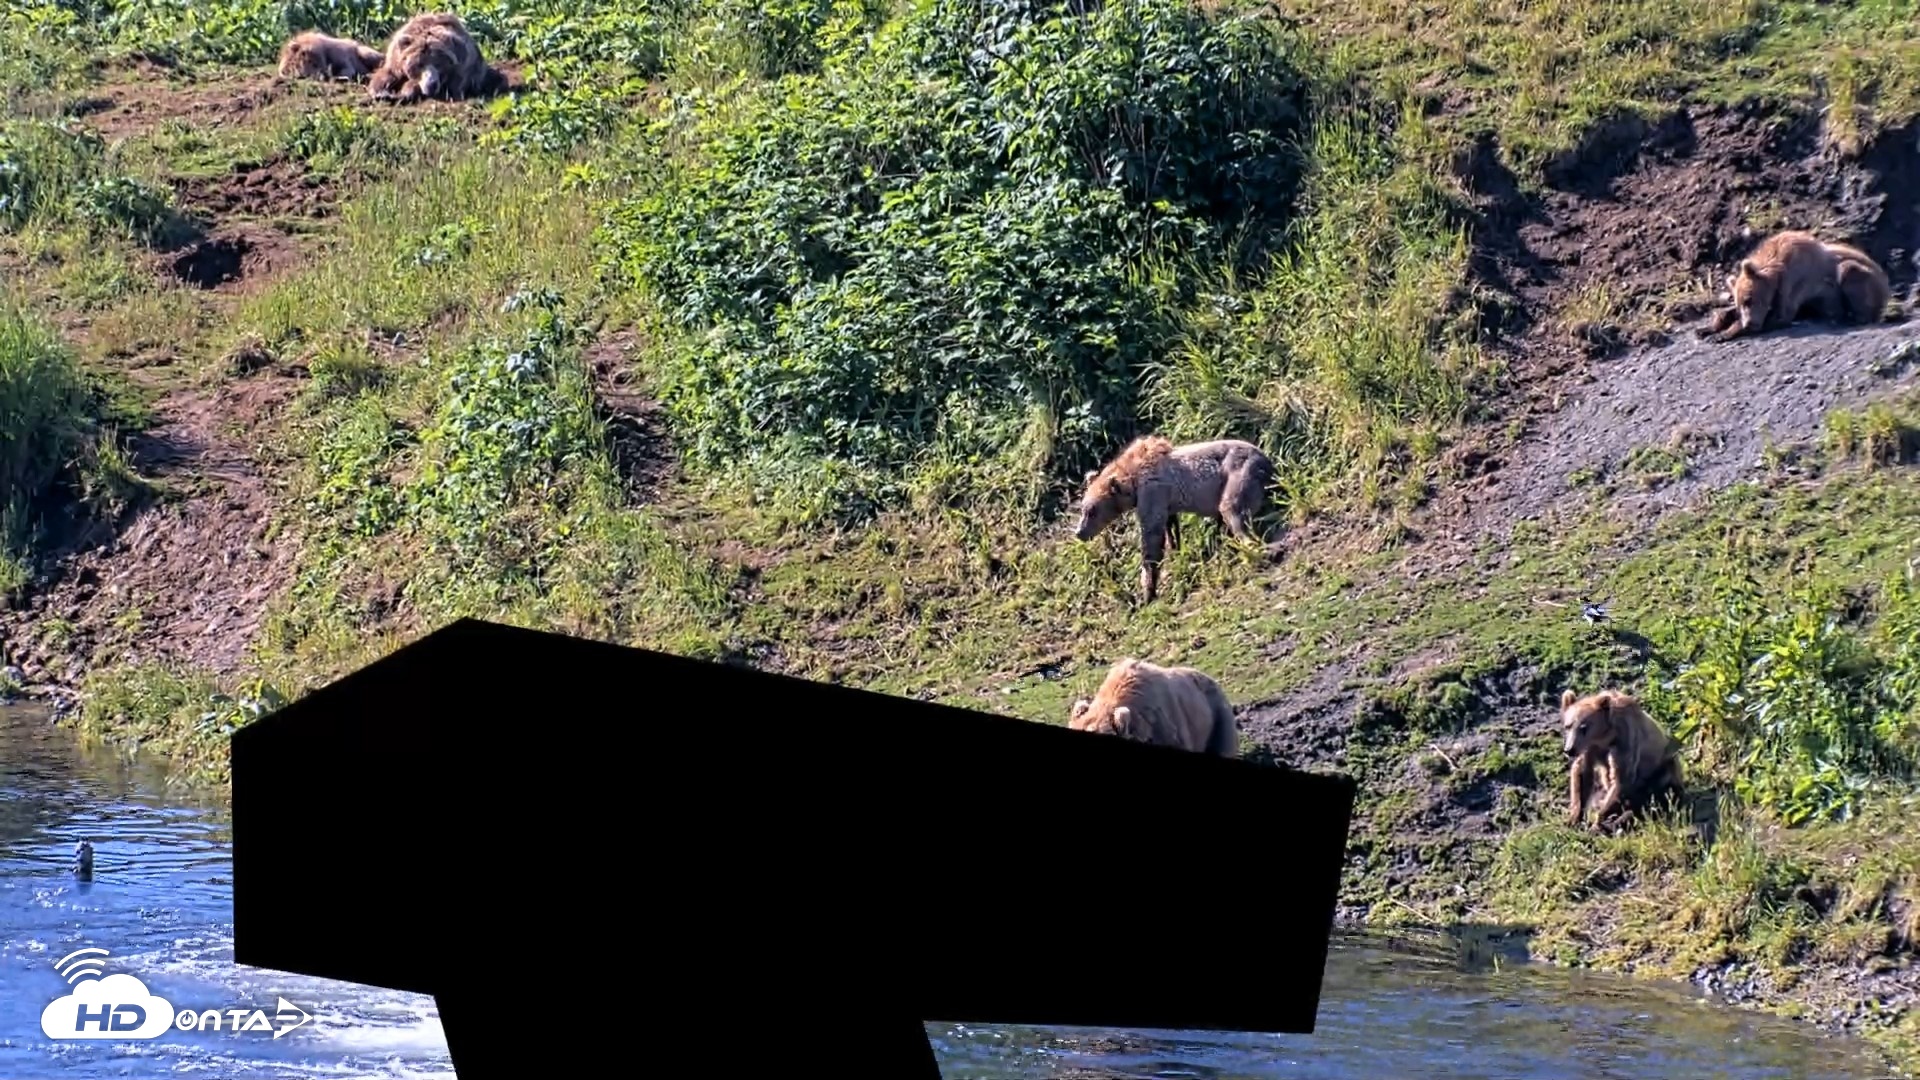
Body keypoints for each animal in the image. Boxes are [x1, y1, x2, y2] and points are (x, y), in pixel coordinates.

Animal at [368, 12, 506, 105]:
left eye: (439, 64)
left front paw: (403, 92)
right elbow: (386, 75)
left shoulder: (461, 69)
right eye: (419, 64)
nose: (432, 84)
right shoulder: (395, 59)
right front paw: (381, 92)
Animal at [1073, 435, 1276, 604]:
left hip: (1239, 473)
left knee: (1232, 509)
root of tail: (1268, 460)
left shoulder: (1152, 492)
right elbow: (1169, 528)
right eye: (1083, 508)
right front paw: (1176, 551)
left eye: (1092, 511)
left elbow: (1152, 538)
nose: (1079, 532)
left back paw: (1253, 549)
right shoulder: (1166, 502)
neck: (1133, 482)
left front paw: (1146, 593)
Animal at [1560, 688, 1685, 833]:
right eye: (1567, 726)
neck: (1605, 737)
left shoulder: (1625, 739)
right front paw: (1574, 818)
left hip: (1664, 769)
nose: (1569, 750)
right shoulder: (1590, 747)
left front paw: (1598, 821)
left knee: (1658, 797)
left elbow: (1621, 777)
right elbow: (1582, 773)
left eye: (1583, 727)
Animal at [1701, 230, 1892, 342]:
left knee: (1849, 272)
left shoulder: (1795, 283)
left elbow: (1781, 316)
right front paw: (1706, 328)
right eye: (1741, 303)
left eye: (1749, 299)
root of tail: (1885, 279)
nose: (1750, 324)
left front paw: (1724, 333)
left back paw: (1851, 318)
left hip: (1866, 278)